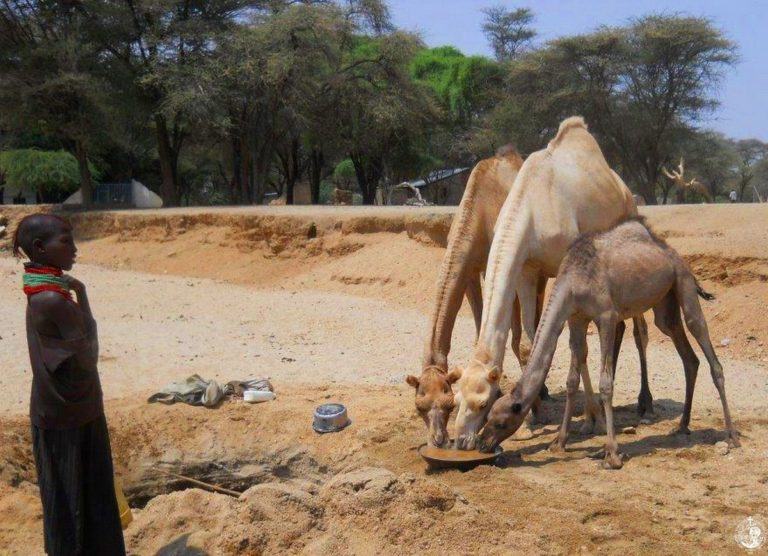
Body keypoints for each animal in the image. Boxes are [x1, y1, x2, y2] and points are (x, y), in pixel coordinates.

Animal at [480, 219, 736, 466]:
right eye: (488, 415)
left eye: (501, 422)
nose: (483, 443)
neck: (573, 281)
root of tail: (673, 253)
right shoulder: (576, 318)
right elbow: (571, 381)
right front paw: (559, 442)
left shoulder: (606, 317)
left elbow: (606, 383)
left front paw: (612, 454)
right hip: (666, 301)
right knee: (686, 353)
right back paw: (682, 426)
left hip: (683, 280)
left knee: (701, 336)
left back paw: (731, 435)